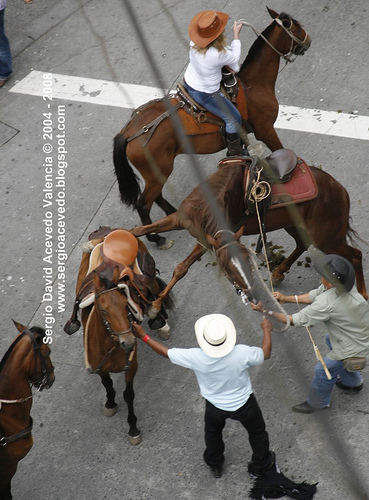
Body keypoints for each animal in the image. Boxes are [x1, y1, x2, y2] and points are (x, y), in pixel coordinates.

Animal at [64, 230, 172, 446]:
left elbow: (128, 394)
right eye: (103, 310)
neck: (109, 346)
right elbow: (107, 384)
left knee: (155, 291)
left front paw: (133, 428)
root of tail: (111, 231)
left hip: (148, 277)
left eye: (125, 306)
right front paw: (110, 403)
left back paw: (160, 321)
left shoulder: (131, 367)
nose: (128, 342)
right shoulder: (99, 368)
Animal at [113, 5, 310, 244]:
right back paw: (157, 238)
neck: (253, 85)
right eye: (296, 27)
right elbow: (280, 150)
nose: (308, 41)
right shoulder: (266, 131)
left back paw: (171, 213)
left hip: (156, 174)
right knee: (143, 204)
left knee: (155, 196)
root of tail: (128, 132)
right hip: (158, 172)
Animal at [128, 160, 366, 316]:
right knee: (302, 244)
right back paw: (278, 272)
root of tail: (340, 190)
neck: (209, 205)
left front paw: (156, 305)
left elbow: (182, 268)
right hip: (294, 225)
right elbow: (141, 232)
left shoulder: (209, 239)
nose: (252, 297)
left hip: (327, 238)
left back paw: (363, 295)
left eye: (247, 265)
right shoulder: (185, 223)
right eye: (229, 269)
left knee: (355, 254)